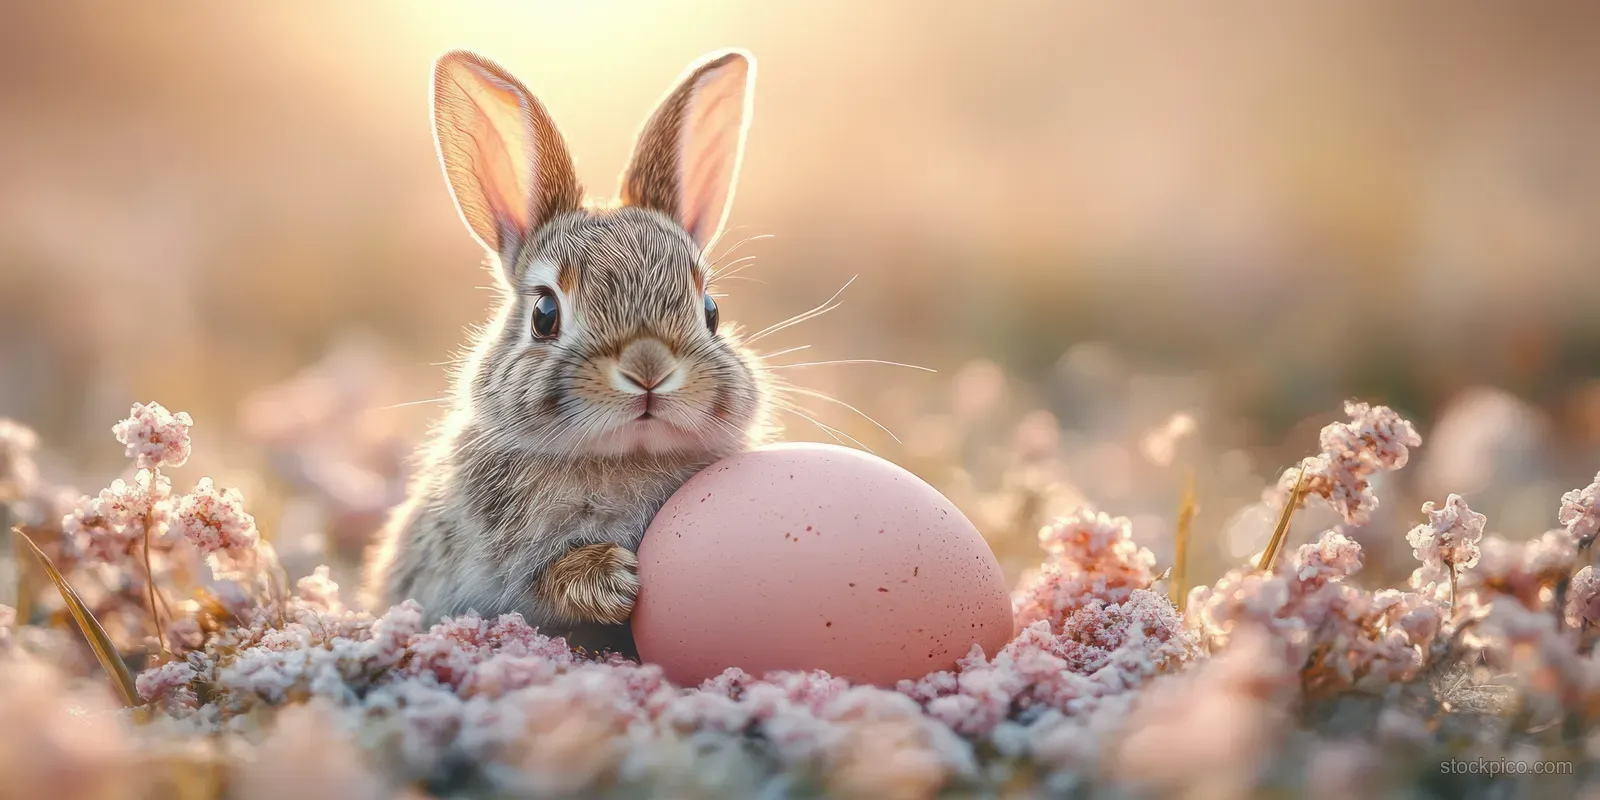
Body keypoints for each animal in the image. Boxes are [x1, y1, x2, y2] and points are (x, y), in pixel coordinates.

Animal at [364, 47, 772, 655]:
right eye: (544, 314)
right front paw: (612, 579)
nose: (648, 369)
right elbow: (540, 582)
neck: (623, 459)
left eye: (711, 310)